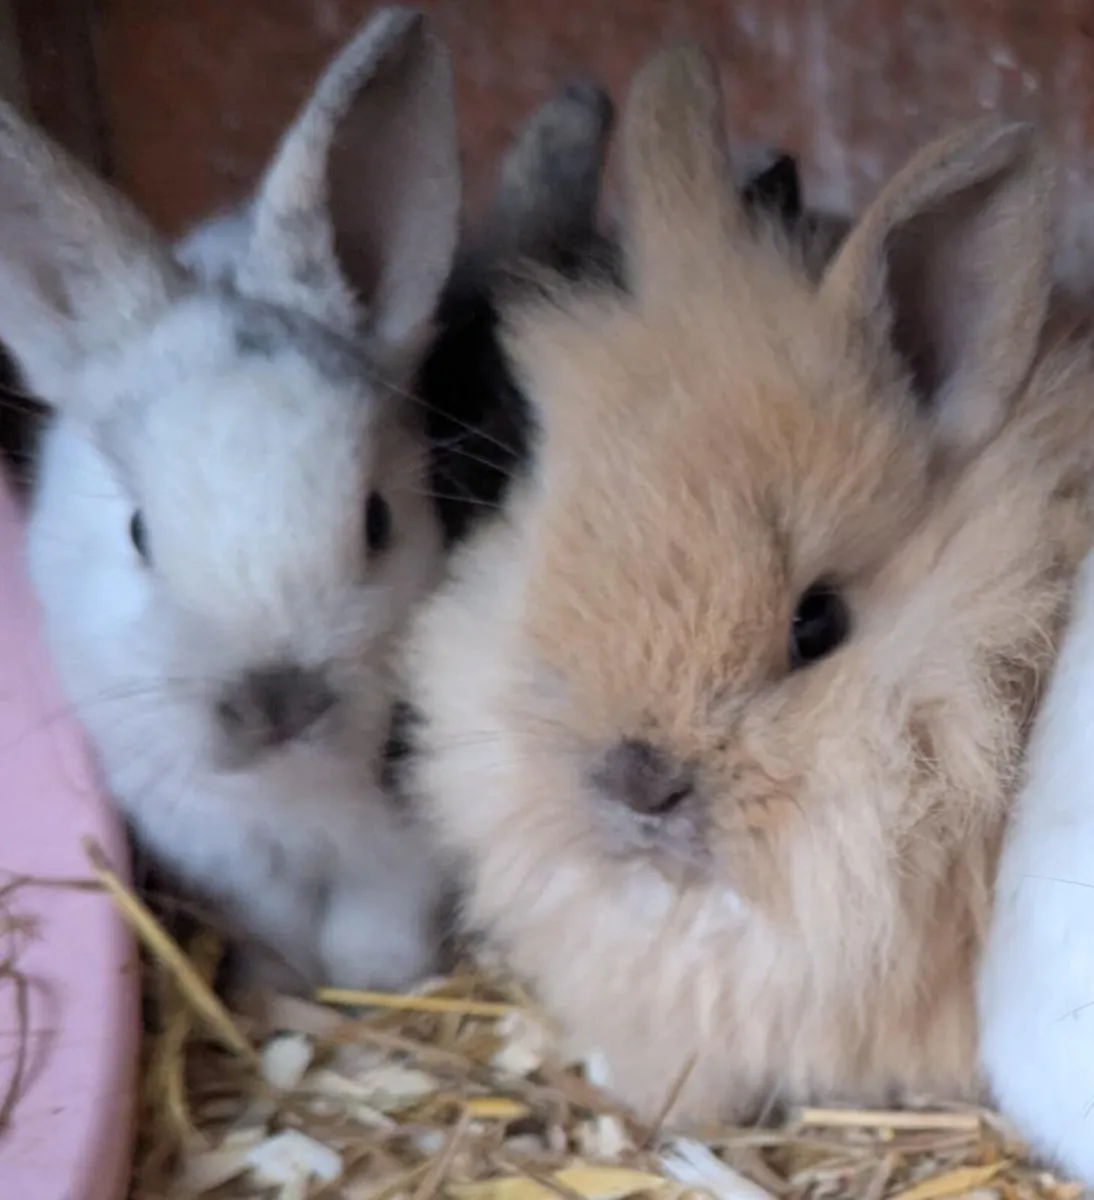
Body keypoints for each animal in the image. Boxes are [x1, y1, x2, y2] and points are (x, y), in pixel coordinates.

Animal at [8, 6, 462, 994]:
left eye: (377, 519)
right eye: (138, 532)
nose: (279, 700)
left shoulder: (400, 851)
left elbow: (378, 928)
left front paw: (370, 984)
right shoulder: (224, 852)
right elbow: (275, 926)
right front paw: (279, 989)